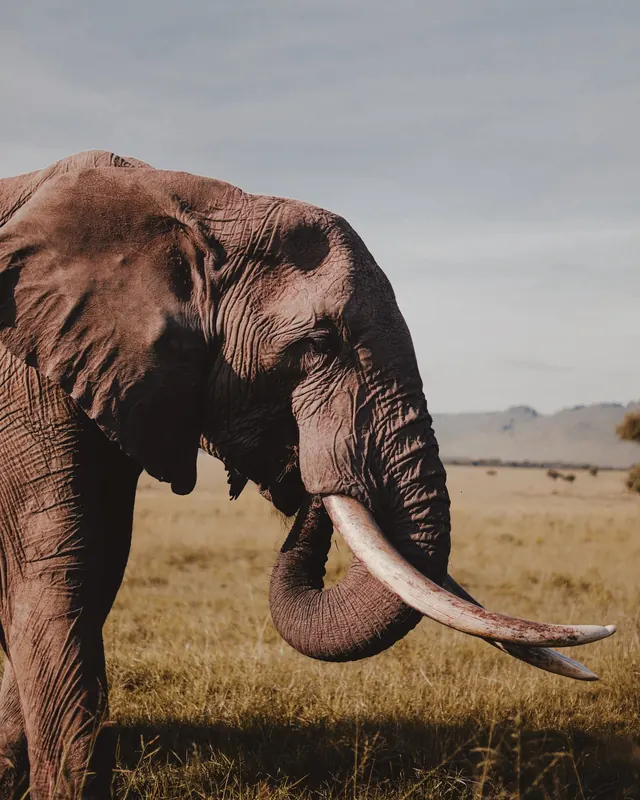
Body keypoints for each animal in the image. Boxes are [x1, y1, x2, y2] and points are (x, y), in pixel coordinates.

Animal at [0, 151, 614, 798]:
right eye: (320, 343)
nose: (305, 461)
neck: (196, 204)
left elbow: (96, 571)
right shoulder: (28, 378)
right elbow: (59, 575)